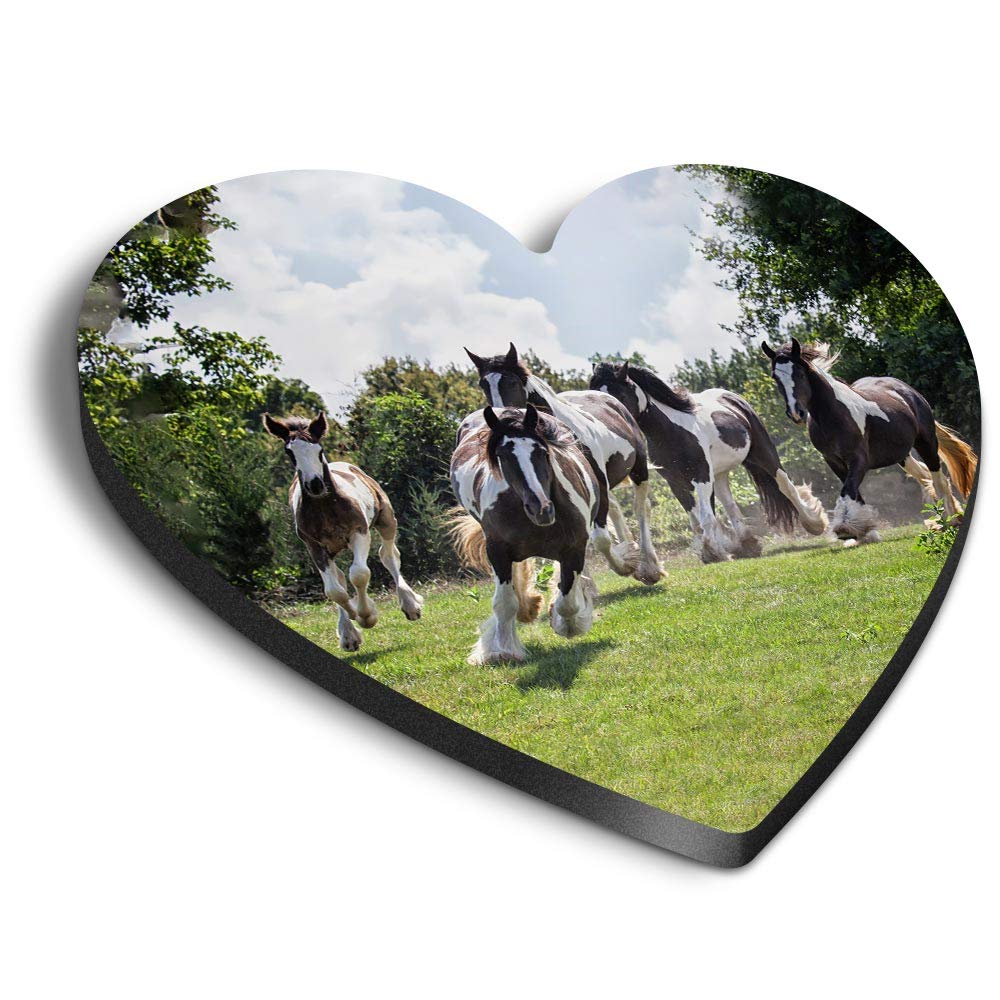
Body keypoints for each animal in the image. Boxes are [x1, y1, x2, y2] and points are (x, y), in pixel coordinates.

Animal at [263, 411, 423, 650]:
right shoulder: (314, 546)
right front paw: (353, 623)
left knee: (388, 555)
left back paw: (410, 604)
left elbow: (359, 574)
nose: (315, 484)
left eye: (319, 450)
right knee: (338, 577)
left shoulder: (359, 531)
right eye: (290, 453)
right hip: (332, 549)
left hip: (386, 520)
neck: (326, 506)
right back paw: (348, 631)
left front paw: (367, 616)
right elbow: (334, 591)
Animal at [449, 403, 604, 665]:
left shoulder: (574, 549)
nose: (540, 508)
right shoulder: (498, 551)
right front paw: (502, 650)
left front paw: (568, 625)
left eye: (541, 451)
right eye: (502, 456)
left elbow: (568, 600)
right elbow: (504, 602)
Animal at [464, 343, 664, 584]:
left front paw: (626, 565)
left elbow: (600, 539)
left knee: (641, 508)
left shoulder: (598, 485)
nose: (499, 420)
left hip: (639, 468)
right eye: (483, 384)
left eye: (511, 381)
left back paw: (648, 567)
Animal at [589, 361, 828, 562]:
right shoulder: (676, 482)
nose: (607, 420)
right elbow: (697, 521)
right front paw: (714, 550)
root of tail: (731, 398)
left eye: (618, 393)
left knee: (786, 486)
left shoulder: (701, 476)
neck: (670, 431)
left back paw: (814, 524)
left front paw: (714, 551)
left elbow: (705, 517)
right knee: (729, 503)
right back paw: (747, 543)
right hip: (719, 473)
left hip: (763, 453)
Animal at [762, 338, 977, 545]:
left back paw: (951, 519)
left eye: (799, 372)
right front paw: (864, 532)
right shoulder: (834, 461)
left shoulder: (859, 459)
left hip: (926, 442)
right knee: (924, 475)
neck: (833, 414)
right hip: (901, 454)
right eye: (775, 377)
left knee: (938, 478)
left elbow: (847, 490)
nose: (795, 413)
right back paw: (940, 517)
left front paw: (845, 528)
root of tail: (907, 391)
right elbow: (854, 493)